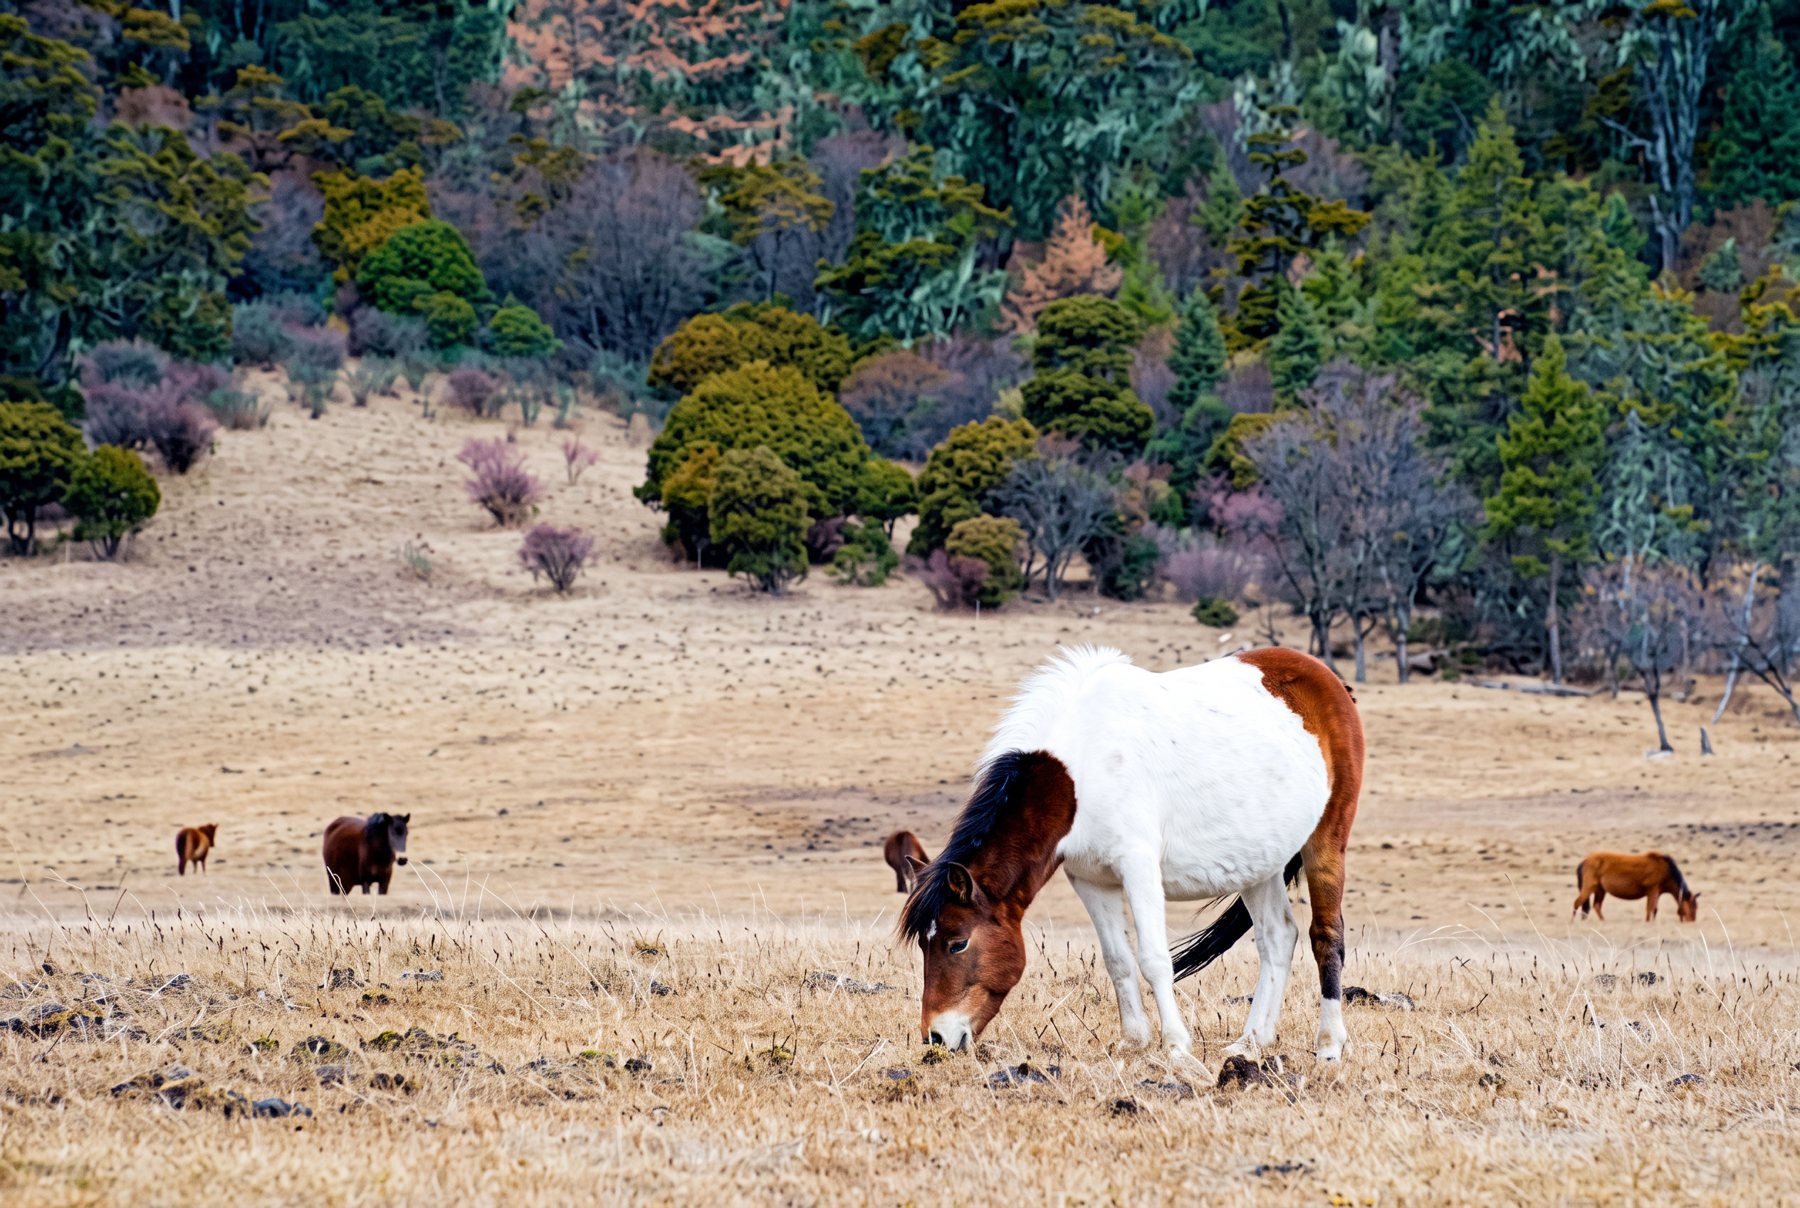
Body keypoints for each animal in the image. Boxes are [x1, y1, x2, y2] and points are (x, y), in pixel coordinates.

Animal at [901, 645, 1363, 1061]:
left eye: (958, 944)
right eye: (924, 945)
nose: (936, 1037)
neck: (1084, 770)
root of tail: (1330, 682)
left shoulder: (1138, 868)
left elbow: (1154, 958)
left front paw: (1176, 1046)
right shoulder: (1091, 879)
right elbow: (1118, 959)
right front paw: (1133, 1041)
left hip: (1326, 841)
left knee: (1325, 937)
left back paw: (1329, 1045)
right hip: (1259, 864)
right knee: (1278, 937)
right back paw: (1250, 1043)